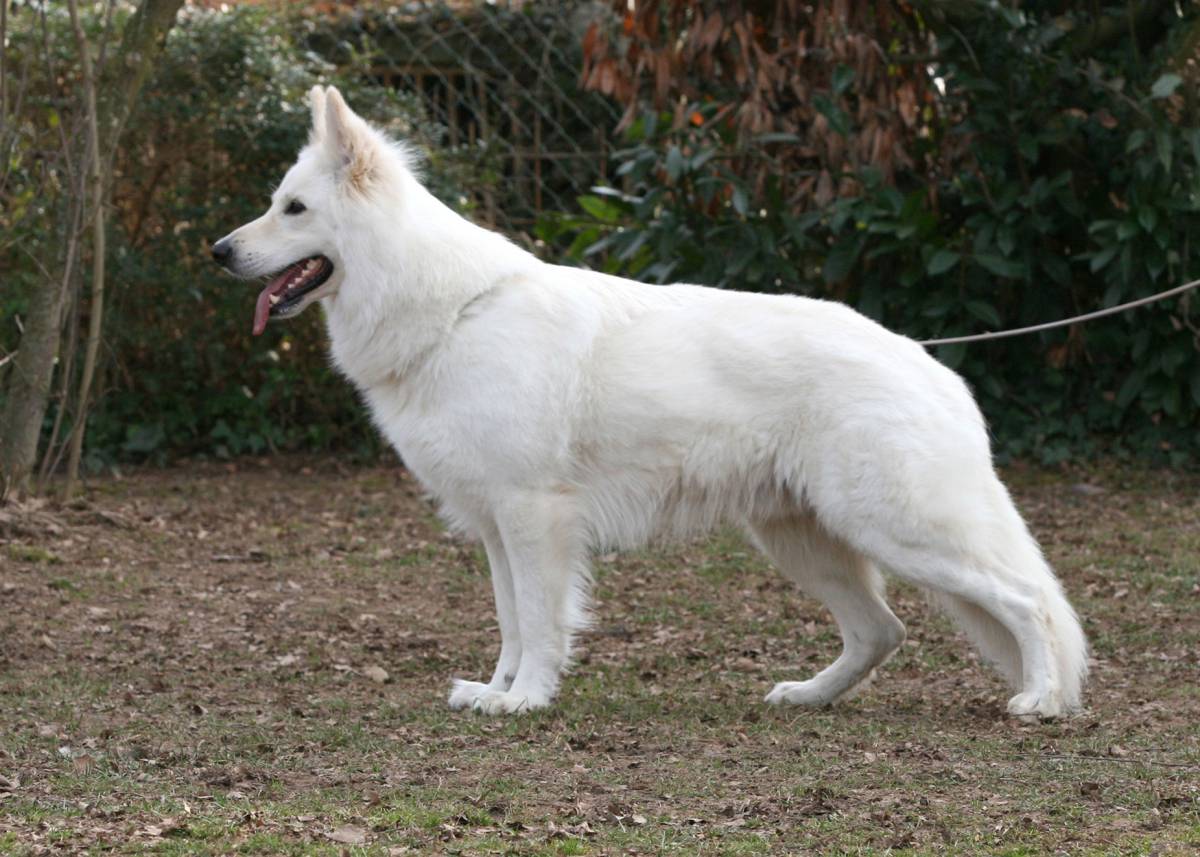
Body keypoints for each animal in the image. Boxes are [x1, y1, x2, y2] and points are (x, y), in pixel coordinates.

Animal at [213, 87, 1089, 715]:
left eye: (293, 209)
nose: (219, 251)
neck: (450, 308)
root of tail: (931, 365)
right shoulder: (495, 526)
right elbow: (509, 619)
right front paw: (496, 690)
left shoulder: (534, 517)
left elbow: (540, 620)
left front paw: (527, 699)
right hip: (800, 538)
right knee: (884, 629)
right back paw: (808, 695)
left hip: (896, 528)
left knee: (1027, 602)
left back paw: (1042, 699)